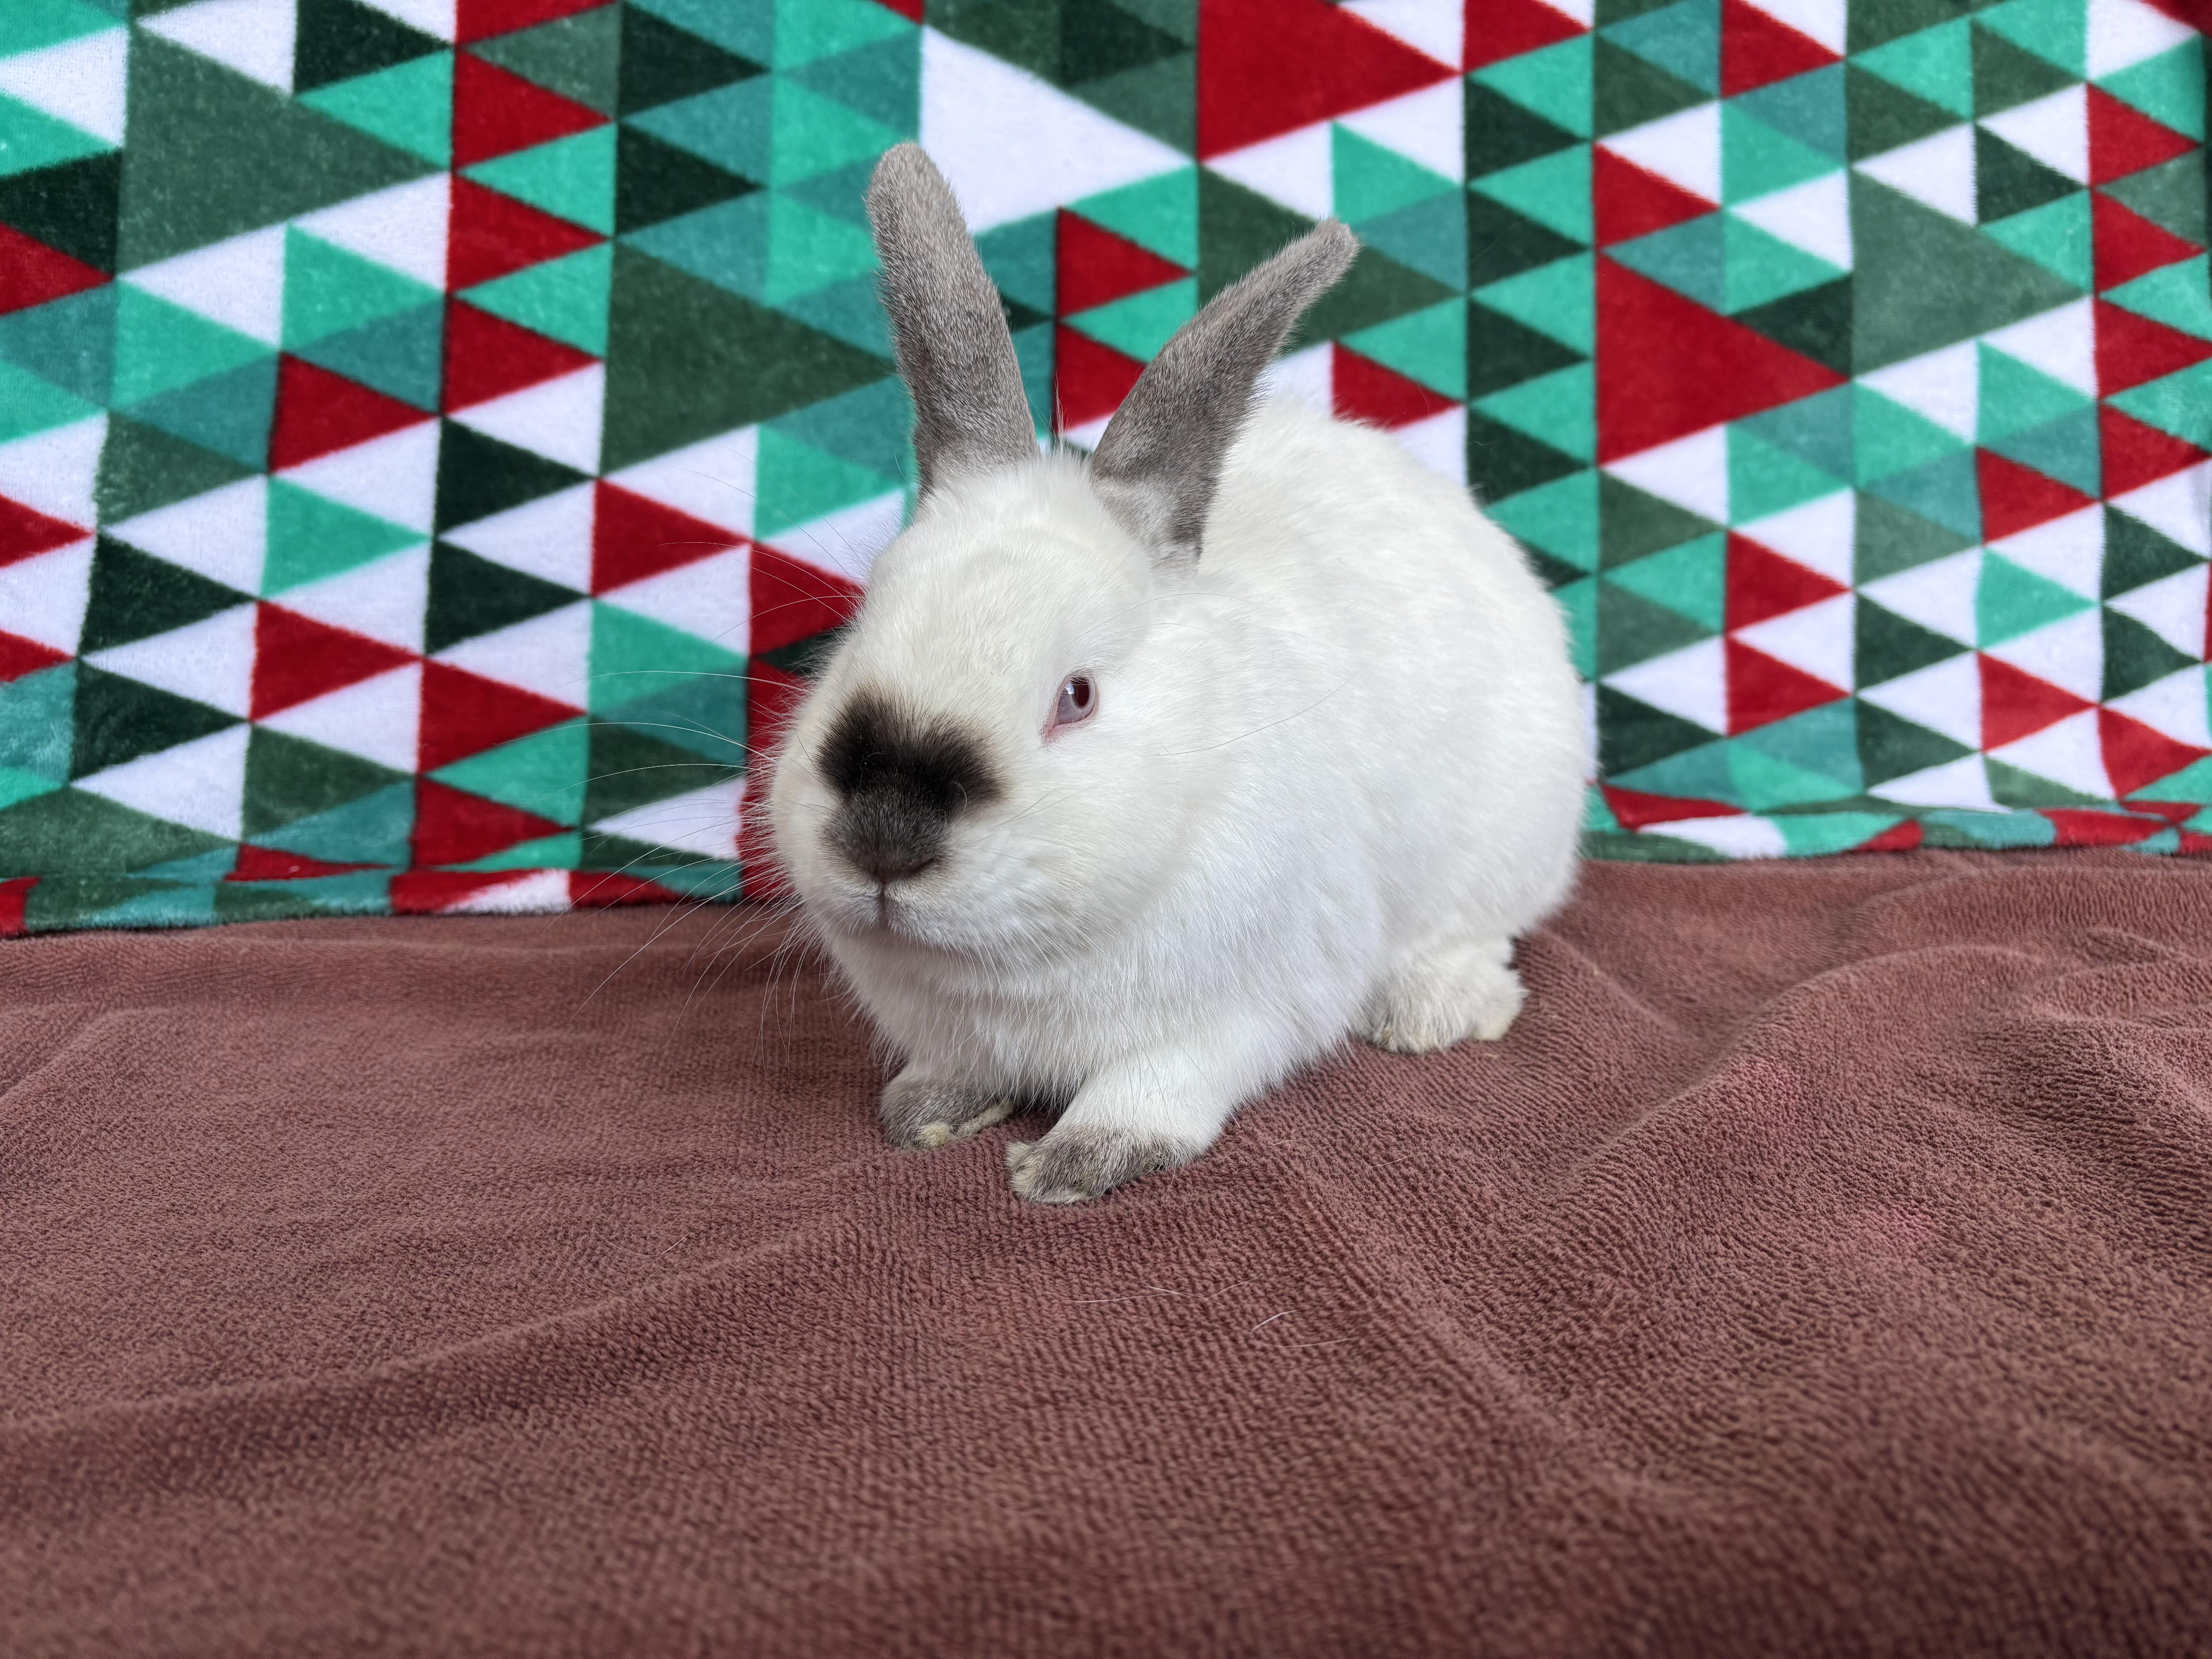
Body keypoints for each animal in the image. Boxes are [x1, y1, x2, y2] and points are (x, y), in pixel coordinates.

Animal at [766, 143, 1587, 1205]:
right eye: (864, 622)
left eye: (1077, 697)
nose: (885, 837)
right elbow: (953, 1071)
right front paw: (926, 1114)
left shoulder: (1247, 1008)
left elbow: (1159, 1082)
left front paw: (1080, 1160)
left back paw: (1432, 1011)